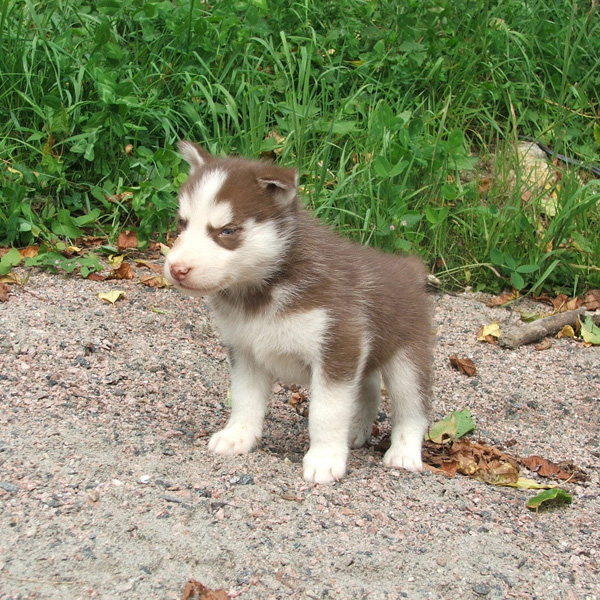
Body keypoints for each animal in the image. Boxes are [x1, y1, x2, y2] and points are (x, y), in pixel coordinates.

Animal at [164, 142, 434, 483]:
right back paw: (356, 430)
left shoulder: (338, 345)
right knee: (369, 388)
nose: (177, 269)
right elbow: (244, 398)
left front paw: (324, 459)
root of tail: (407, 267)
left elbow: (326, 411)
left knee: (413, 408)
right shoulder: (245, 350)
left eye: (227, 231)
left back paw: (403, 453)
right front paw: (237, 435)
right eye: (182, 223)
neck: (264, 288)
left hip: (407, 357)